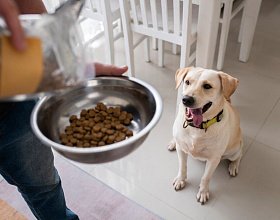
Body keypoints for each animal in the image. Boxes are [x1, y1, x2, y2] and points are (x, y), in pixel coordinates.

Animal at [168, 66, 243, 205]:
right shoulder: (181, 150)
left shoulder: (214, 159)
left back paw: (234, 166)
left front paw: (203, 192)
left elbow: (206, 177)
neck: (197, 128)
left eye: (207, 86)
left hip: (234, 150)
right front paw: (181, 180)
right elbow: (182, 167)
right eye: (187, 82)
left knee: (239, 155)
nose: (186, 99)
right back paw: (172, 142)